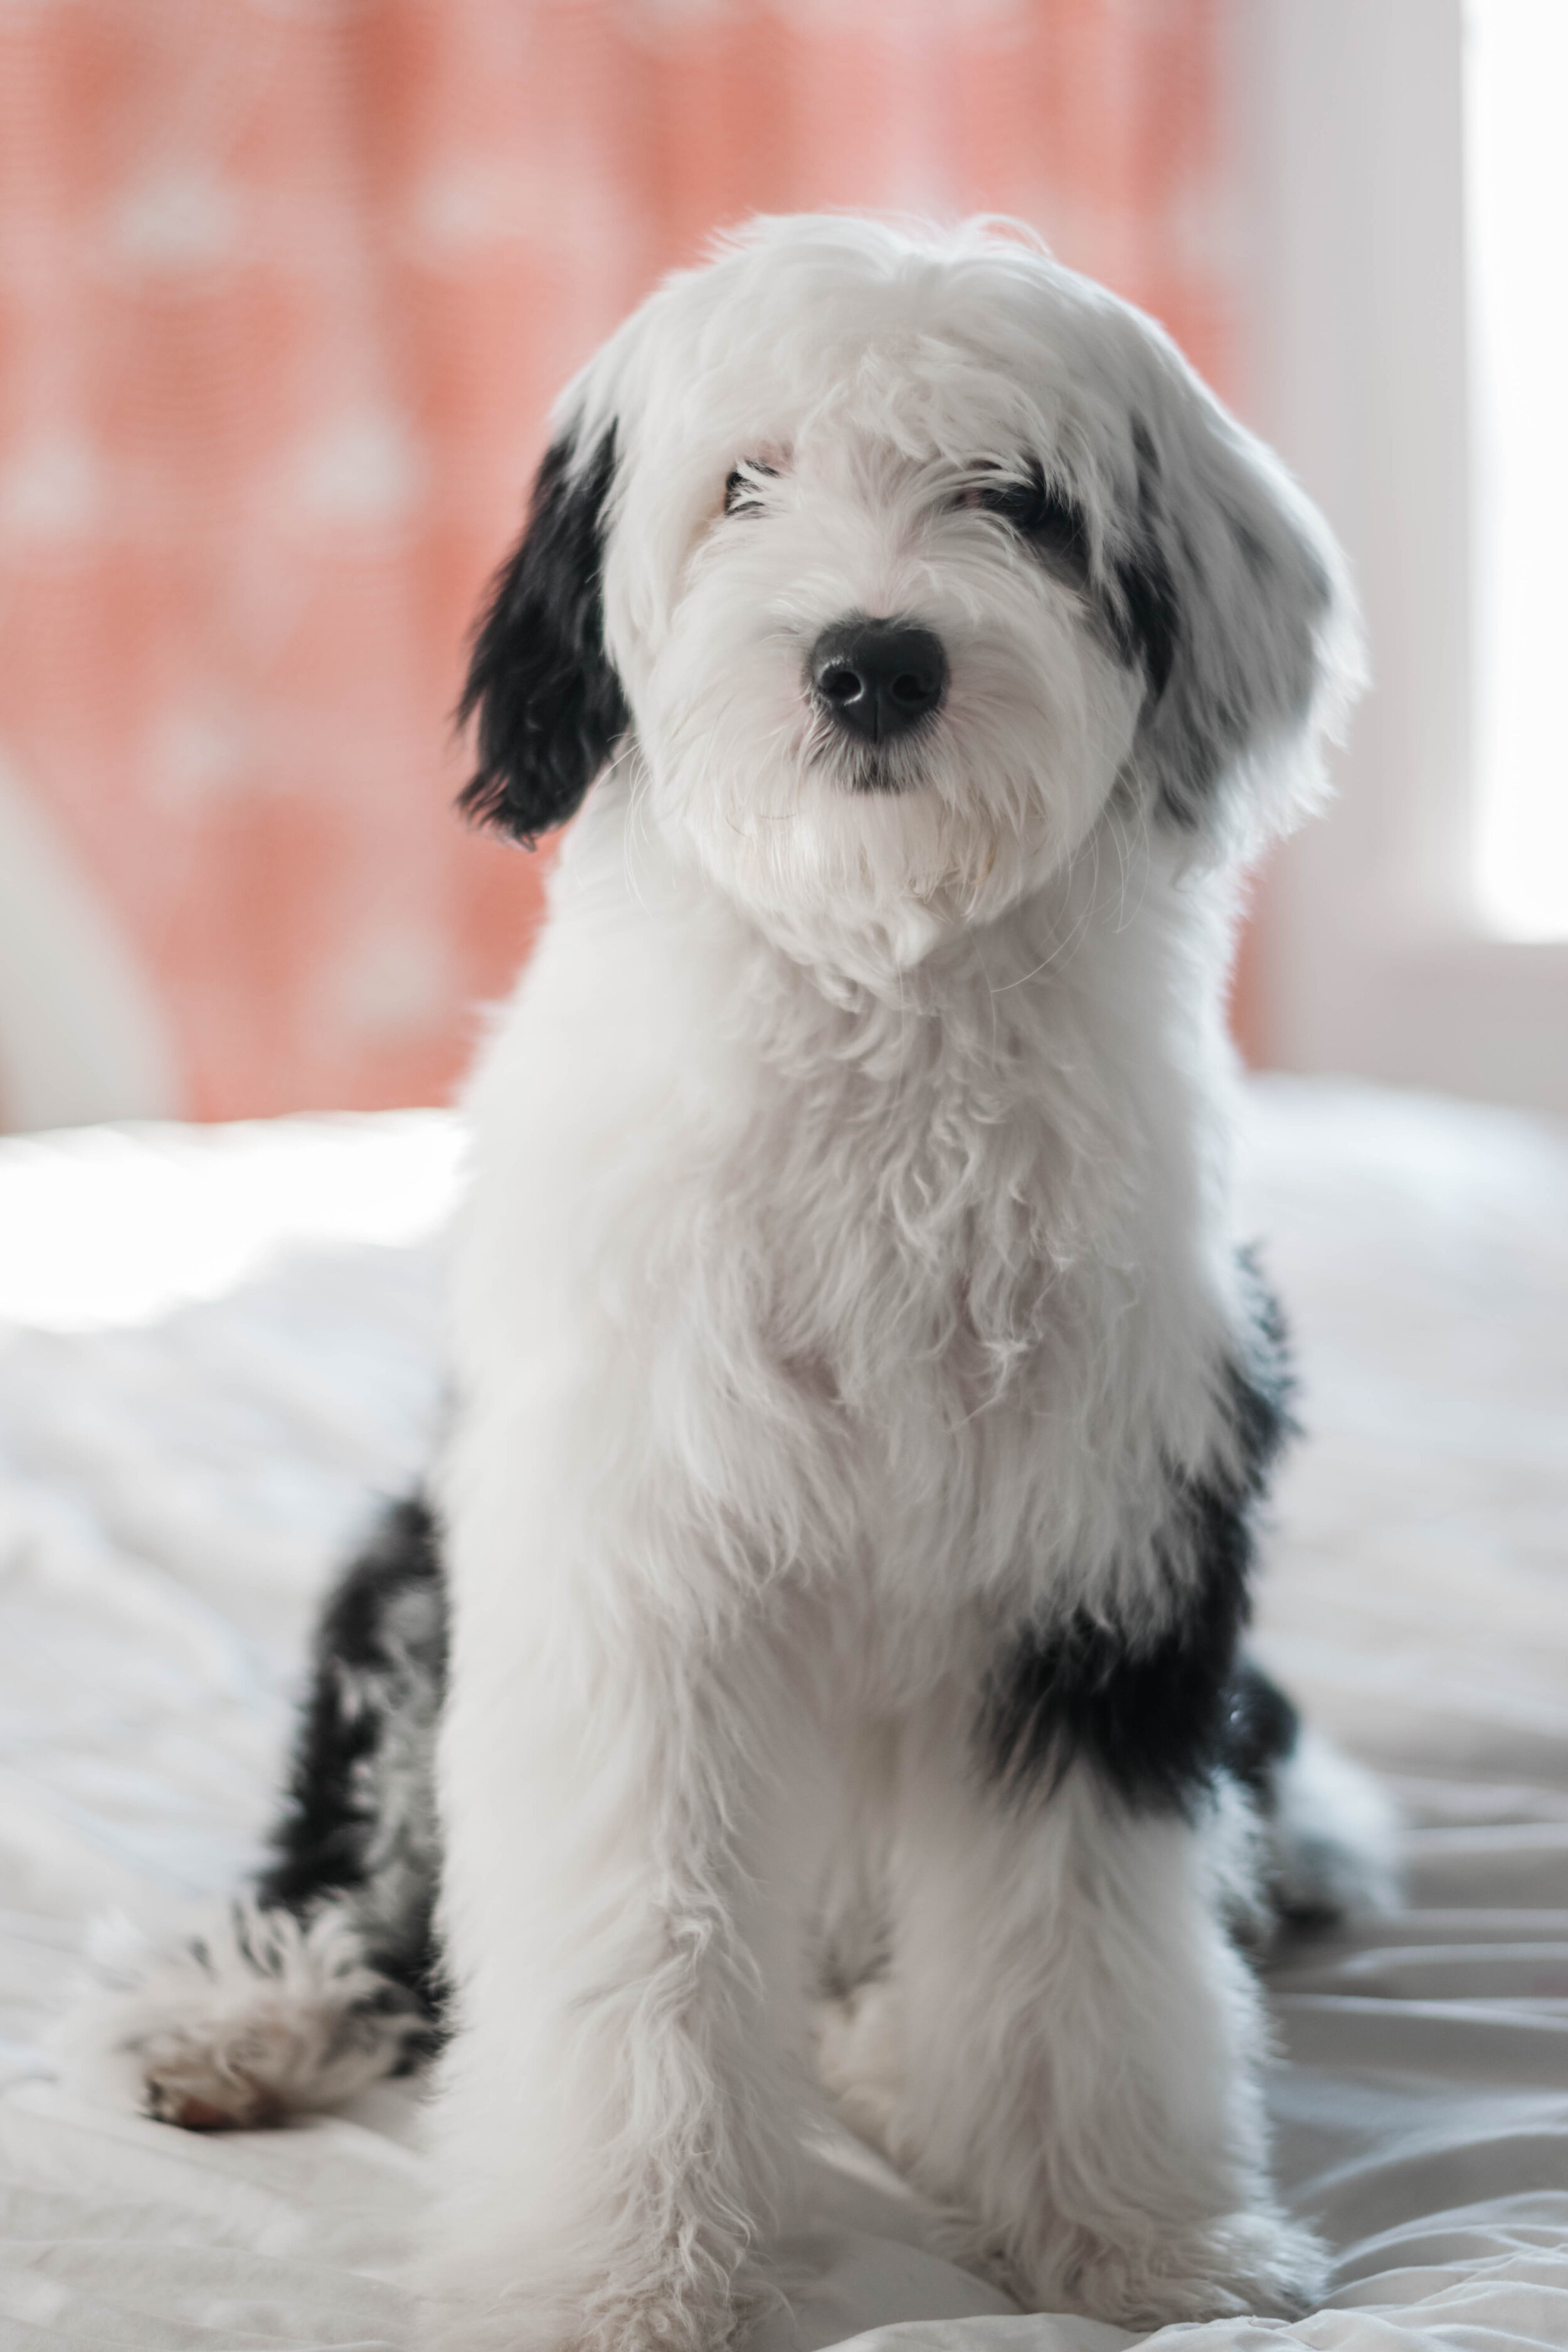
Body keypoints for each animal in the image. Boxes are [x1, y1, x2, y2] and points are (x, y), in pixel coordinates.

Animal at [67, 216, 1401, 2352]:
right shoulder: (627, 1557)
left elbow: (1082, 1942)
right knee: (374, 1877)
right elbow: (631, 1931)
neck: (883, 1015)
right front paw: (610, 2275)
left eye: (1013, 499)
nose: (873, 659)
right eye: (742, 484)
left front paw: (1131, 2235)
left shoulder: (1103, 1570)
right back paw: (246, 2014)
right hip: (412, 1581)